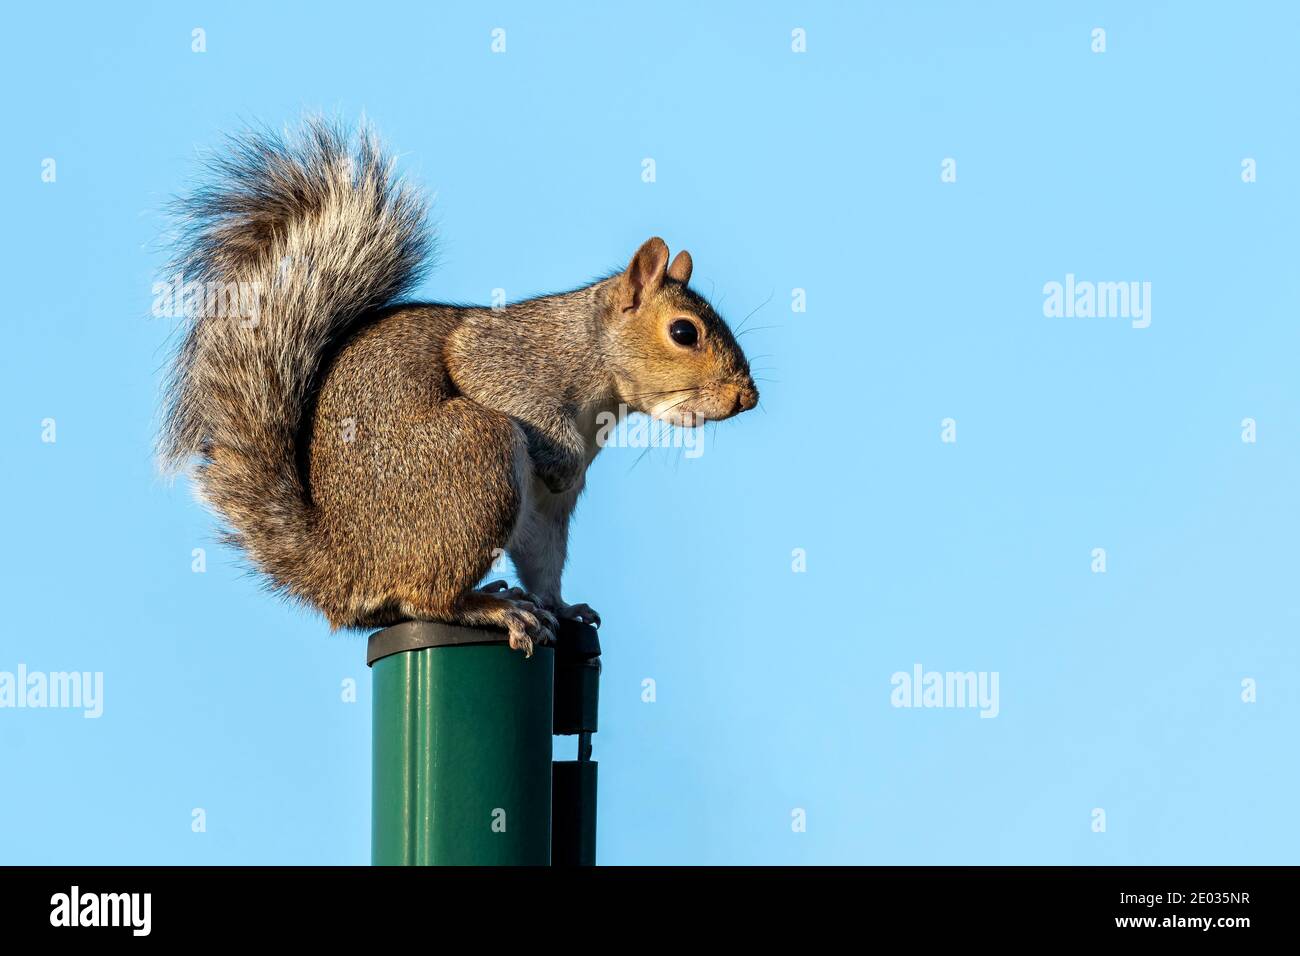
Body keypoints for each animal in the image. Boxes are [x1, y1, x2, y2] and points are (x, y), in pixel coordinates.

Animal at [158, 119, 758, 655]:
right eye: (684, 332)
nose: (746, 397)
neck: (592, 359)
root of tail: (343, 565)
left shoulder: (546, 511)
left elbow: (543, 556)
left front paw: (564, 607)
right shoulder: (500, 357)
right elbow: (492, 381)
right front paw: (562, 461)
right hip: (476, 454)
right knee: (427, 598)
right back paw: (491, 608)